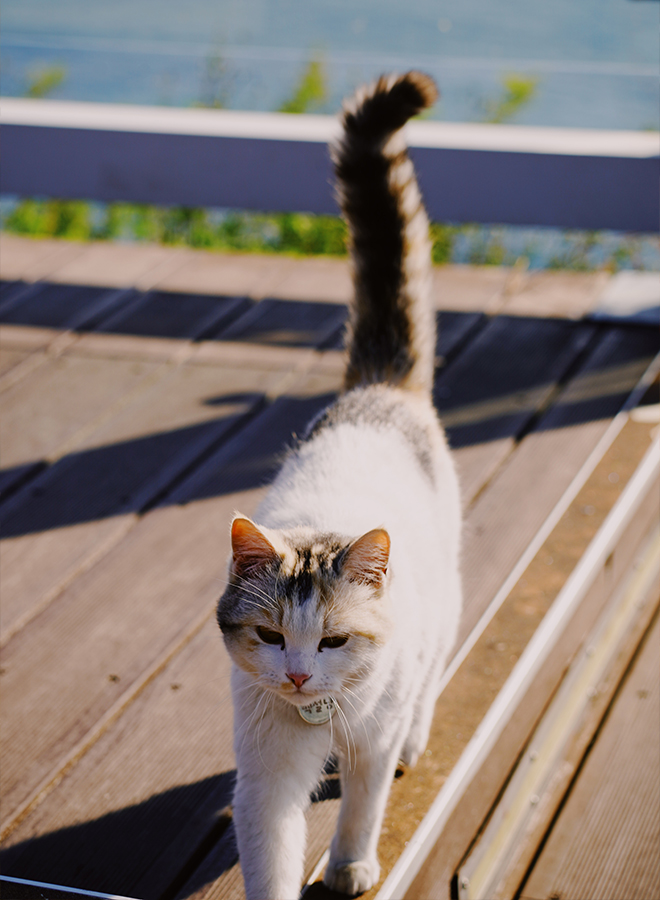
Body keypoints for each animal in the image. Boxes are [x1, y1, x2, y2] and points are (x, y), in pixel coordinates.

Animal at [218, 72, 464, 900]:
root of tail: (378, 388)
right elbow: (270, 853)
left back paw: (421, 735)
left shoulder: (369, 738)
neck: (320, 719)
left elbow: (364, 802)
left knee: (428, 676)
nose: (296, 675)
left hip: (443, 606)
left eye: (333, 639)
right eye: (270, 637)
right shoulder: (264, 770)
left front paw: (351, 866)